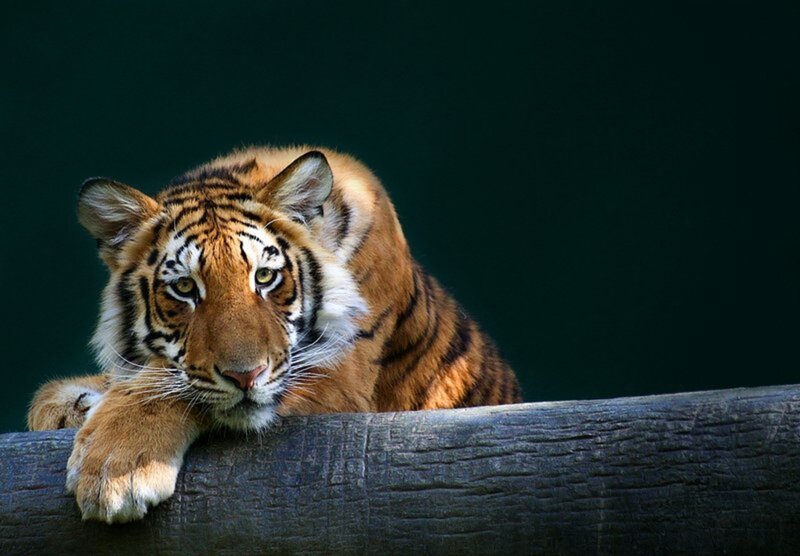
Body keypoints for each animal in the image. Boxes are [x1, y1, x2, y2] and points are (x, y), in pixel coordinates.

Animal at [27, 146, 522, 523]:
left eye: (265, 278)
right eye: (185, 288)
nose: (245, 376)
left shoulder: (340, 375)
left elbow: (168, 389)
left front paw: (114, 471)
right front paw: (67, 405)